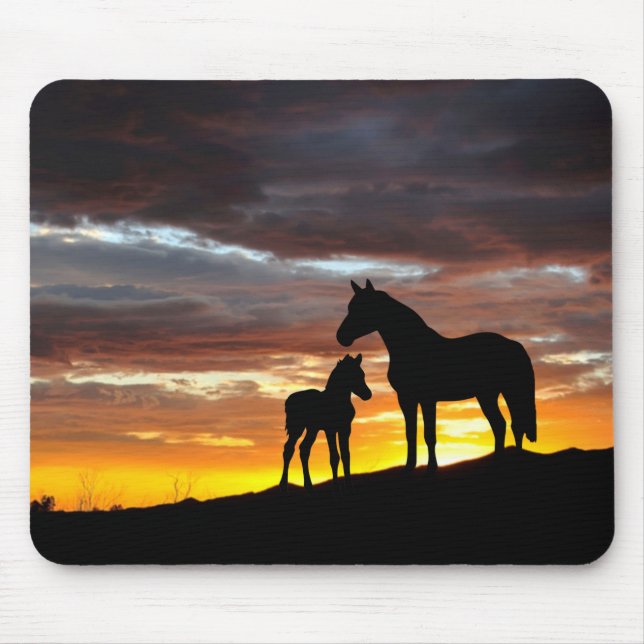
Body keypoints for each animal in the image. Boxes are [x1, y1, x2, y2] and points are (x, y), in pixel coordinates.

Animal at [279, 354, 372, 491]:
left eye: (362, 374)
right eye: (353, 374)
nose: (368, 394)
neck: (337, 399)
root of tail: (287, 401)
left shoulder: (345, 429)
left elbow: (346, 455)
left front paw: (349, 486)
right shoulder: (330, 430)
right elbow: (334, 457)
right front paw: (336, 487)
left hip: (312, 429)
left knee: (304, 448)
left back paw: (308, 486)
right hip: (296, 428)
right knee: (288, 449)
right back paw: (283, 485)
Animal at [336, 280, 536, 471]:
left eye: (363, 307)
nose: (341, 337)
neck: (413, 347)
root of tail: (513, 344)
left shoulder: (427, 399)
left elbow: (429, 435)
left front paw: (432, 467)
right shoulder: (406, 399)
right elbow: (410, 433)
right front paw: (409, 467)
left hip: (501, 393)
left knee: (508, 425)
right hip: (492, 394)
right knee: (505, 425)